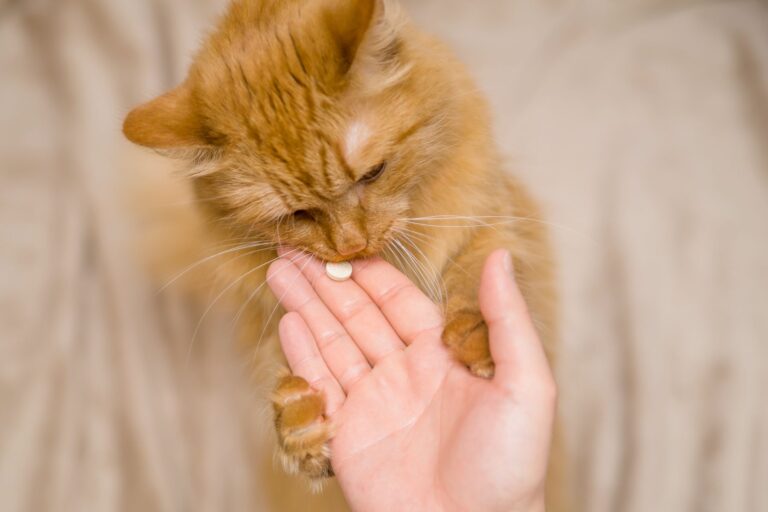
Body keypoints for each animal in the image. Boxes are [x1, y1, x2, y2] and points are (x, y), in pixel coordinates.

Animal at [123, 0, 568, 508]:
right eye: (297, 213)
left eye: (373, 173)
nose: (351, 245)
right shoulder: (269, 325)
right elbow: (281, 370)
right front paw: (298, 422)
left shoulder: (496, 227)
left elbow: (481, 273)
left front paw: (480, 333)